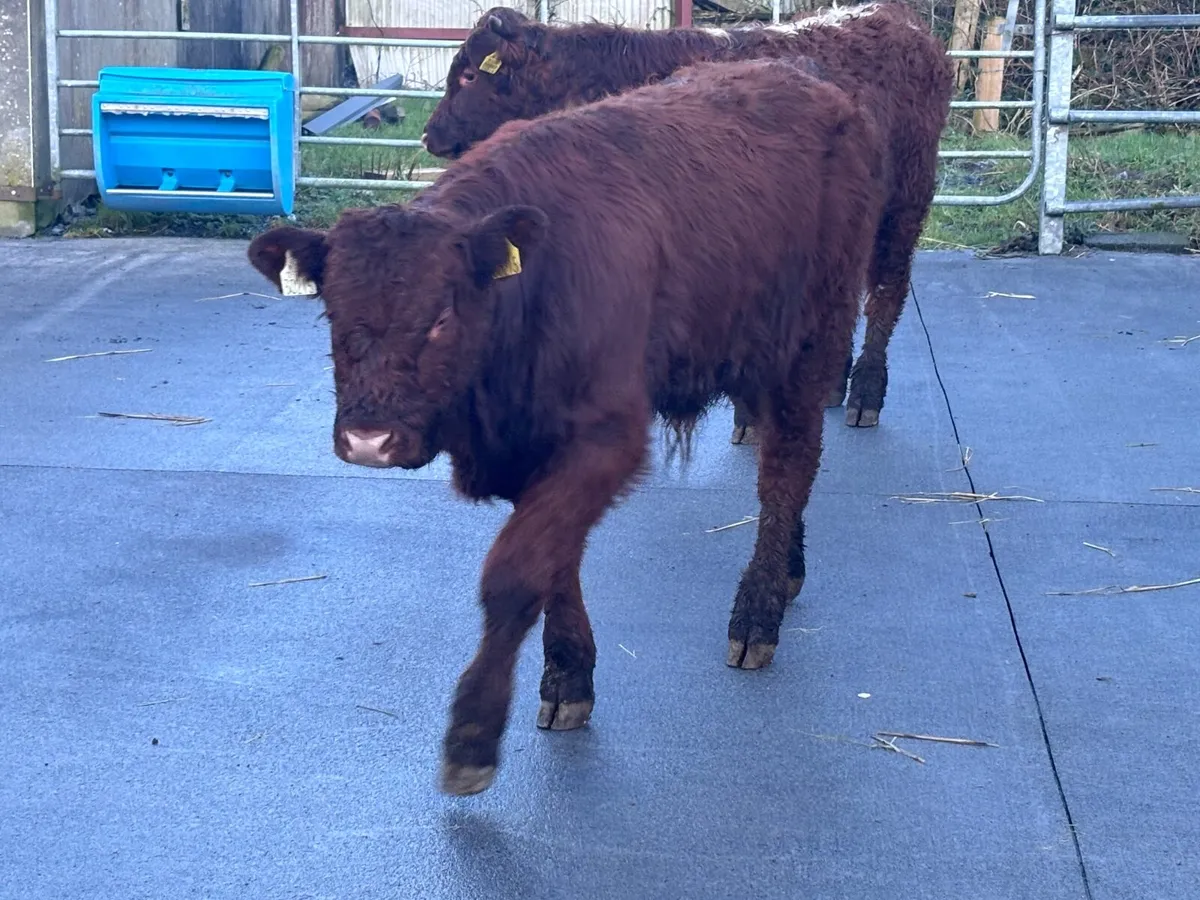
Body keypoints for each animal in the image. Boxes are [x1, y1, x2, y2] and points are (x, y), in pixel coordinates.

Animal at [247, 58, 886, 796]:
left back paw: (758, 612)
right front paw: (568, 677)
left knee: (789, 464)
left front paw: (474, 732)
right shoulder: (536, 450)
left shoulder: (607, 438)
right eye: (332, 311)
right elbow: (555, 560)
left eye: (441, 318)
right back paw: (789, 569)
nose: (368, 440)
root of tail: (803, 77)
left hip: (810, 341)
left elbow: (517, 571)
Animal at [422, 2, 954, 439]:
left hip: (906, 201)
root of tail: (893, 16)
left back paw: (865, 394)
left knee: (886, 291)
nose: (429, 135)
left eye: (469, 76)